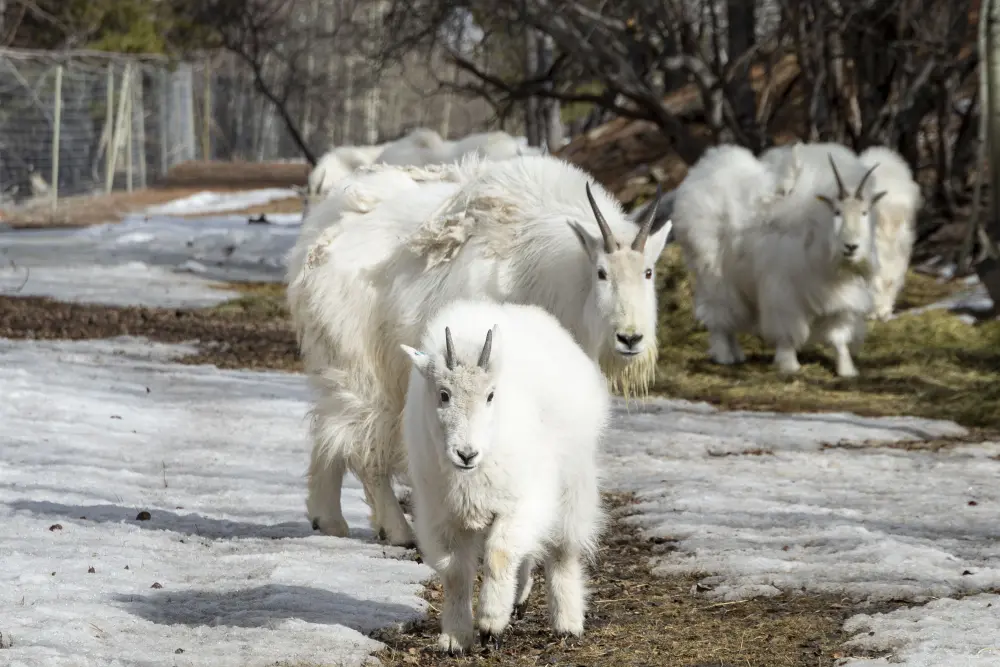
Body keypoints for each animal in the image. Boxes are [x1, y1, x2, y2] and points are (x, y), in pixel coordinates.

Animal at [286, 155, 668, 548]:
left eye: (649, 272)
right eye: (602, 273)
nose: (630, 338)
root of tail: (314, 243)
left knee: (329, 429)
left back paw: (328, 518)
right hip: (362, 370)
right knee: (364, 445)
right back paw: (398, 530)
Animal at [400, 300, 608, 656]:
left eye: (490, 395)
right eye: (443, 394)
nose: (466, 454)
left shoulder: (522, 502)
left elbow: (499, 555)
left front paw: (490, 626)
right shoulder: (443, 515)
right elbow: (455, 572)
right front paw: (455, 638)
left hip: (572, 484)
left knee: (562, 550)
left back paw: (567, 622)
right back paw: (519, 600)